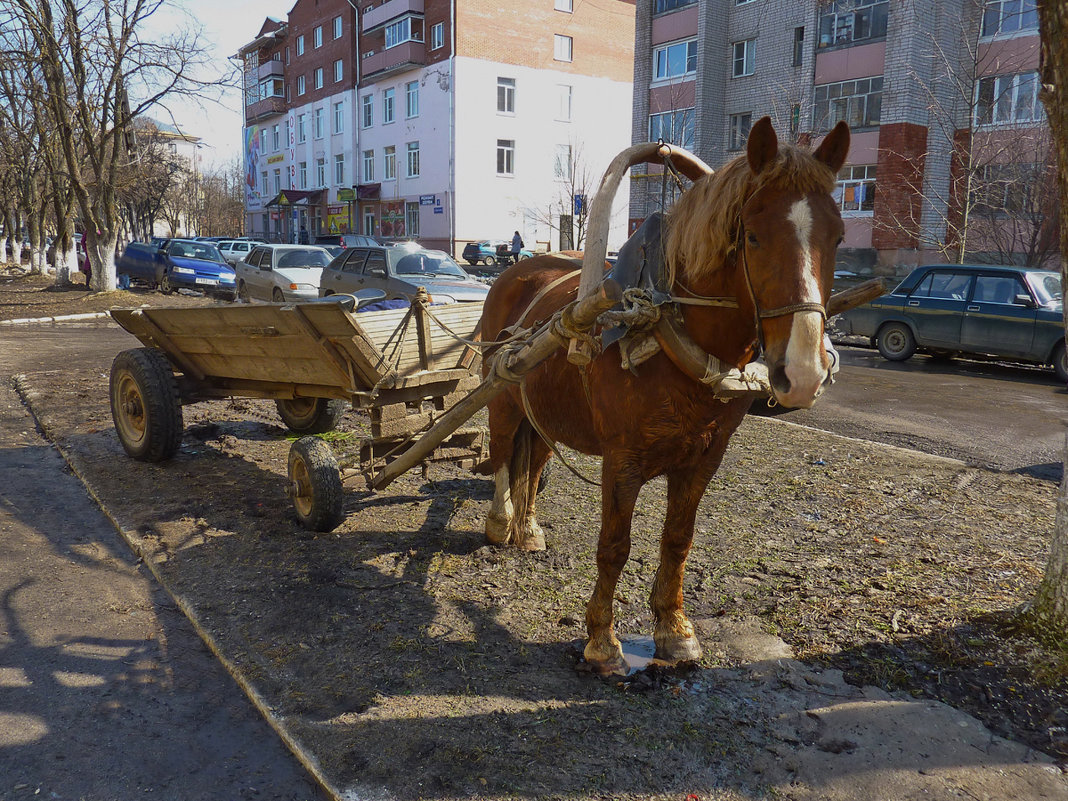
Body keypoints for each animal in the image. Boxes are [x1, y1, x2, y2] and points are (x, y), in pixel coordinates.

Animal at [480, 115, 845, 674]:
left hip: (542, 409)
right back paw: (501, 523)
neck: (667, 329)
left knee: (535, 460)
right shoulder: (623, 459)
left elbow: (677, 540)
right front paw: (602, 640)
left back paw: (529, 528)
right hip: (502, 393)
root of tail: (514, 272)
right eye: (754, 236)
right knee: (502, 452)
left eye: (839, 236)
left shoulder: (704, 459)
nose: (804, 371)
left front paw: (674, 630)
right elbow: (614, 545)